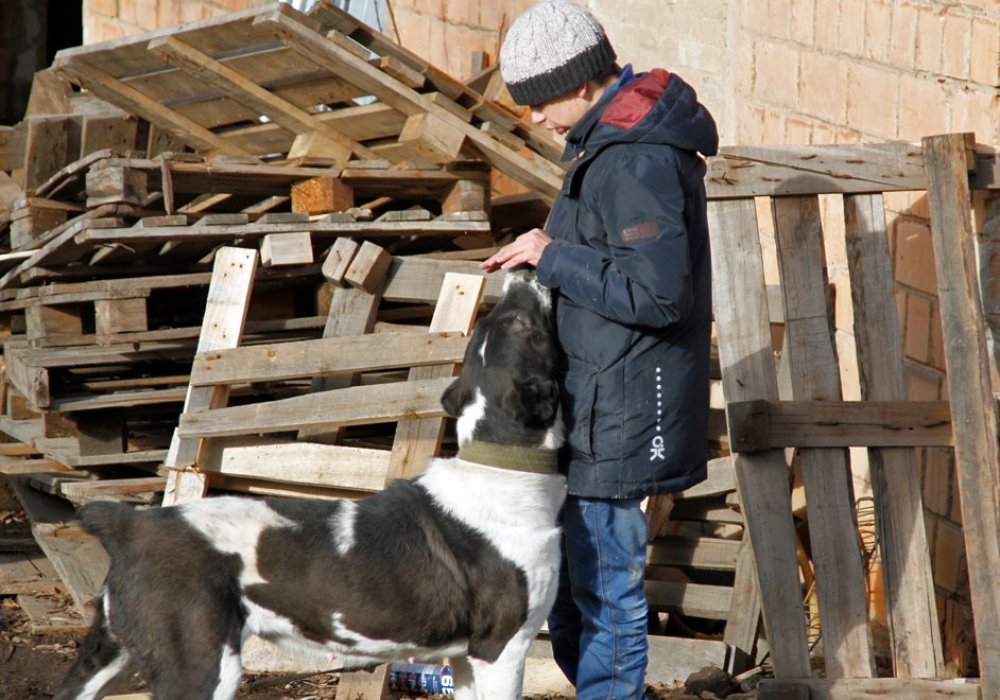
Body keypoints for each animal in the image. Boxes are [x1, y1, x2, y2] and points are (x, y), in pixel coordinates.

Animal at [54, 270, 568, 700]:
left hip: (111, 653)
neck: (502, 467)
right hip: (199, 665)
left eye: (491, 323)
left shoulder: (461, 659)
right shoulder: (500, 649)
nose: (520, 271)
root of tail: (131, 525)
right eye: (524, 325)